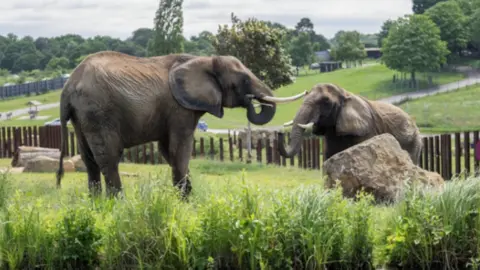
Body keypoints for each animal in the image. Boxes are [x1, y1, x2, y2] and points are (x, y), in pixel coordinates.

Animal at [55, 50, 304, 198]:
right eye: (243, 80)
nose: (252, 100)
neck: (203, 59)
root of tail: (67, 87)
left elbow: (168, 151)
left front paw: (188, 197)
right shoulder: (179, 109)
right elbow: (179, 149)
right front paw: (184, 200)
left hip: (82, 117)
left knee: (89, 158)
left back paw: (97, 204)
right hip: (98, 112)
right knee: (108, 157)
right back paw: (119, 203)